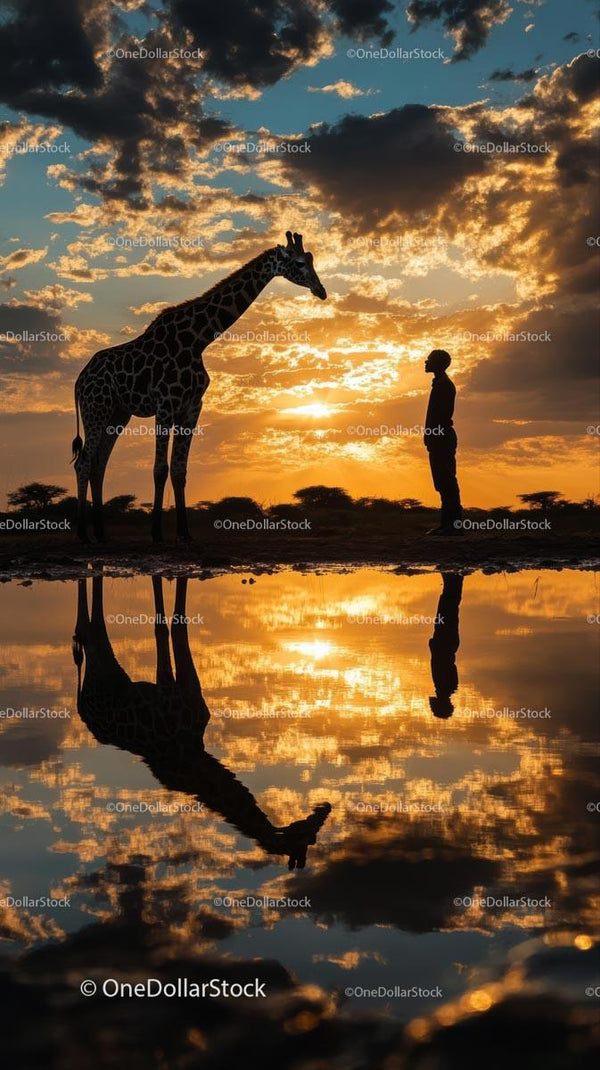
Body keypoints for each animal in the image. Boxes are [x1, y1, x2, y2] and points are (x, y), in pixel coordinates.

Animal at [71, 232, 327, 543]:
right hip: (96, 409)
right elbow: (160, 469)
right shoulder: (166, 405)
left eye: (312, 259)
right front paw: (157, 533)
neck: (199, 339)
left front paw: (184, 532)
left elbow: (180, 470)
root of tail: (79, 381)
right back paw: (83, 534)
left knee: (99, 465)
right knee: (84, 463)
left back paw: (101, 534)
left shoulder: (192, 407)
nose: (321, 291)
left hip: (117, 414)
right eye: (300, 263)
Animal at [72, 574, 332, 869]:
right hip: (100, 665)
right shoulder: (171, 691)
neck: (194, 757)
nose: (324, 809)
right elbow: (166, 625)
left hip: (110, 671)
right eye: (308, 839)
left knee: (89, 625)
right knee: (89, 629)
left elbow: (176, 619)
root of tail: (82, 709)